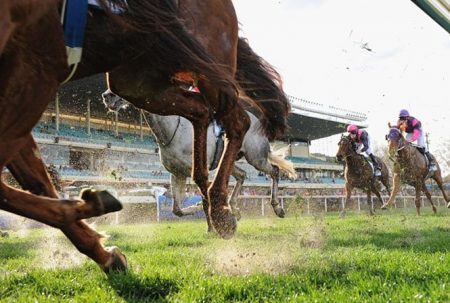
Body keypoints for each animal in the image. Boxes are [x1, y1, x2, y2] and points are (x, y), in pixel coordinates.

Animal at [0, 0, 278, 274]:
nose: (107, 96)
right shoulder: (175, 173)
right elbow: (178, 207)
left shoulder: (34, 72)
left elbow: (198, 186)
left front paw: (211, 218)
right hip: (140, 80)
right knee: (219, 139)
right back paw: (231, 207)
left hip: (221, 102)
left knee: (259, 153)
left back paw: (247, 208)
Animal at [103, 90, 298, 230]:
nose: (107, 96)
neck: (173, 130)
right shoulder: (177, 174)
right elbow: (177, 210)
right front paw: (201, 212)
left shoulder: (198, 171)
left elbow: (205, 200)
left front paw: (211, 227)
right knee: (242, 175)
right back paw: (234, 208)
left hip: (256, 157)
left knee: (274, 171)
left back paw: (277, 207)